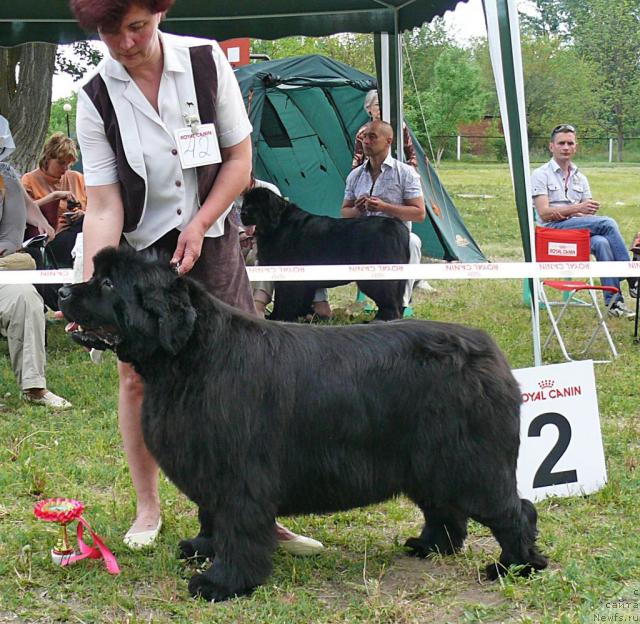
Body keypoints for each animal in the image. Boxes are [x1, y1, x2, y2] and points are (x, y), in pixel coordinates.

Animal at [58, 247, 544, 600]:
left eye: (107, 282)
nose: (62, 291)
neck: (191, 357)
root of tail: (491, 353)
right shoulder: (209, 463)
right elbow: (210, 515)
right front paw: (201, 550)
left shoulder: (238, 474)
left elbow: (236, 527)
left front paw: (222, 582)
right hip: (428, 461)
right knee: (445, 510)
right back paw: (430, 546)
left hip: (470, 463)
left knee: (514, 510)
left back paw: (513, 567)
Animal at [240, 186, 410, 322]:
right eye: (245, 202)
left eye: (257, 204)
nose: (243, 213)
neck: (278, 224)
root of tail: (397, 226)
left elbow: (286, 297)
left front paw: (281, 318)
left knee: (388, 300)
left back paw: (381, 320)